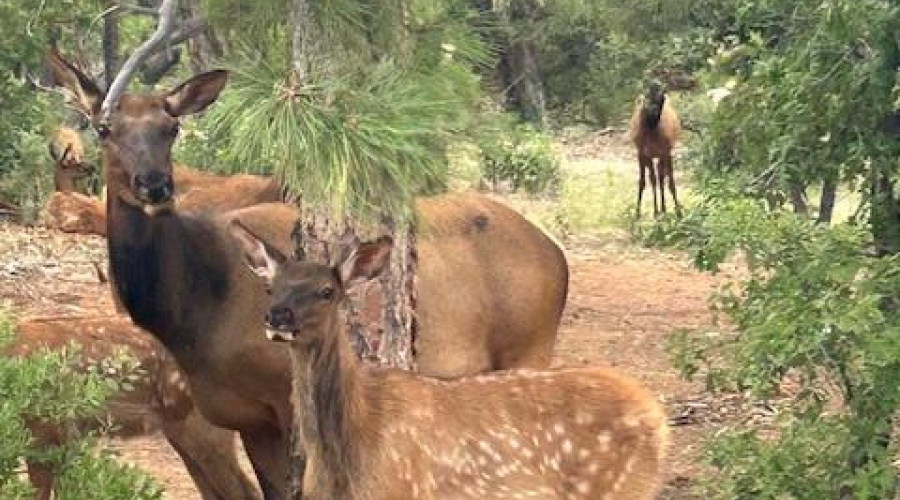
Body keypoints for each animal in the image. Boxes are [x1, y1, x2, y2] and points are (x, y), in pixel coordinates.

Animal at [45, 3, 568, 497]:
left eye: (171, 128)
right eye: (105, 128)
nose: (155, 185)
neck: (193, 312)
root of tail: (555, 254)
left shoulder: (284, 394)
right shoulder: (244, 417)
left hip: (529, 348)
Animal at [230, 224, 668, 500]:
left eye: (326, 291)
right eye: (270, 287)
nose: (278, 317)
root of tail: (659, 420)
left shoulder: (401, 491)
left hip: (616, 487)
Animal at [629, 80, 682, 218]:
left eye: (661, 99)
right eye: (646, 97)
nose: (652, 111)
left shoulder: (665, 151)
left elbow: (668, 181)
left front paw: (676, 211)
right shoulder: (643, 153)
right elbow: (644, 181)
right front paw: (639, 212)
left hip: (662, 154)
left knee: (662, 177)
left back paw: (666, 209)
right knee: (655, 177)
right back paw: (658, 210)